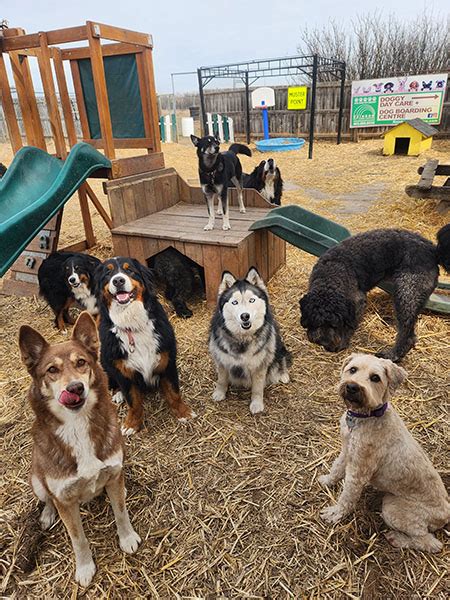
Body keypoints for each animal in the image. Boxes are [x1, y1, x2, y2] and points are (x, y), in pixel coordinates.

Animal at [18, 312, 141, 584]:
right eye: (52, 370)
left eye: (81, 362)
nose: (74, 388)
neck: (78, 427)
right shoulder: (64, 499)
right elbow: (77, 538)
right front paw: (84, 568)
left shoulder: (113, 471)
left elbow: (121, 513)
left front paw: (127, 538)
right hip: (36, 480)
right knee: (47, 499)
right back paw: (47, 515)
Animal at [96, 255, 196, 434]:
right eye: (107, 273)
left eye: (129, 270)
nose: (118, 280)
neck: (132, 325)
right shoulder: (123, 372)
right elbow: (133, 401)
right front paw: (131, 424)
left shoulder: (167, 361)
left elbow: (174, 393)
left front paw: (183, 413)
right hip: (104, 359)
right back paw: (118, 394)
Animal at [208, 268, 292, 412]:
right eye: (234, 302)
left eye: (252, 300)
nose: (245, 316)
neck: (242, 338)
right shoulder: (222, 360)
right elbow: (222, 380)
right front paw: (219, 393)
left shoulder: (260, 365)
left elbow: (257, 388)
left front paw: (257, 404)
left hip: (278, 345)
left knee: (281, 359)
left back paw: (283, 374)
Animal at [298, 226, 450, 360]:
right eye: (316, 322)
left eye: (334, 324)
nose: (323, 343)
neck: (331, 274)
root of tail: (432, 250)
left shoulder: (358, 301)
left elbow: (349, 326)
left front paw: (341, 344)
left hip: (406, 293)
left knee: (407, 334)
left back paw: (392, 355)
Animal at [318, 352, 448, 552]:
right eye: (353, 369)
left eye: (375, 378)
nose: (352, 387)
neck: (366, 416)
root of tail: (446, 514)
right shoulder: (347, 450)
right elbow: (336, 468)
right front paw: (326, 480)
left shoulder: (359, 471)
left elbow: (348, 496)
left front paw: (335, 513)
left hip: (393, 507)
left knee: (430, 542)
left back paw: (397, 539)